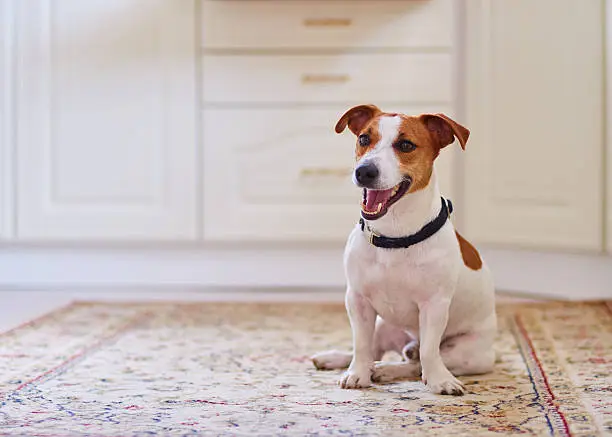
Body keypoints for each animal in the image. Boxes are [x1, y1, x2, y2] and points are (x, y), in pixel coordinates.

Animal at [310, 104, 498, 394]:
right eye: (364, 138)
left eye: (406, 145)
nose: (364, 171)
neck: (394, 236)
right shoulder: (357, 300)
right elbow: (361, 345)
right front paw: (357, 374)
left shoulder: (434, 306)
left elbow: (430, 352)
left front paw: (440, 381)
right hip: (383, 324)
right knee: (375, 350)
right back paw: (340, 360)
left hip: (468, 354)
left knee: (417, 362)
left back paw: (388, 369)